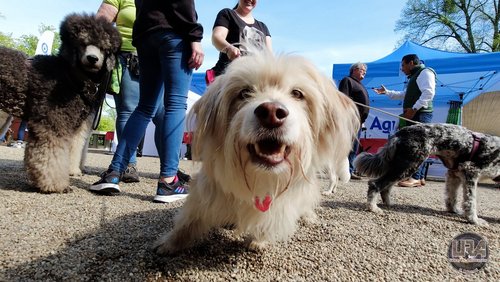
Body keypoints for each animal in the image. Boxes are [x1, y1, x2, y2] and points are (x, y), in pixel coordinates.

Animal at [0, 13, 120, 194]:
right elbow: (51, 156)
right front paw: (55, 185)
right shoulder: (53, 122)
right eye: (82, 43)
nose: (92, 58)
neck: (70, 75)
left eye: (103, 47)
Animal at [153, 50, 360, 256]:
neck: (260, 176)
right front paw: (170, 243)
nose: (271, 113)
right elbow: (189, 220)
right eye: (244, 92)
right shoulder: (206, 193)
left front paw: (259, 240)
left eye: (297, 93)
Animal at [354, 123, 498, 227]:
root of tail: (399, 133)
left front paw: (453, 210)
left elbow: (452, 196)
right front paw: (475, 220)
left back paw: (388, 203)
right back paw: (373, 207)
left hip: (404, 166)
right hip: (409, 164)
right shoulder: (471, 172)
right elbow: (471, 201)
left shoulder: (454, 174)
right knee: (375, 184)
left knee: (386, 187)